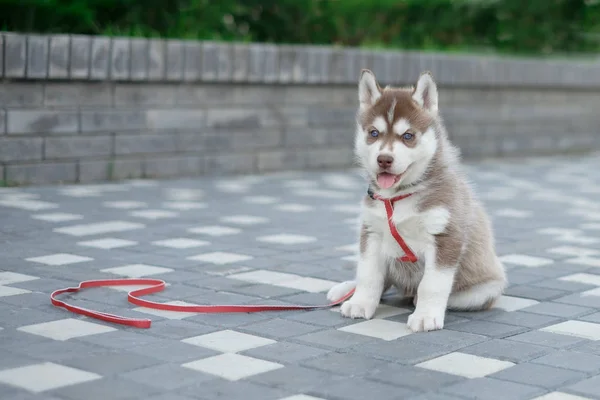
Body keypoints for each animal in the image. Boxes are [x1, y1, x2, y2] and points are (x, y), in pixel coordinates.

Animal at [328, 70, 506, 332]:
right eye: (373, 133)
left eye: (408, 136)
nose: (384, 159)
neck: (398, 197)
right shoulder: (372, 232)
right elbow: (368, 274)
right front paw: (360, 303)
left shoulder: (444, 237)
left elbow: (432, 285)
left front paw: (425, 316)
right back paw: (346, 290)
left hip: (485, 289)